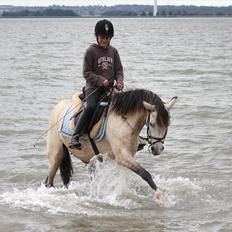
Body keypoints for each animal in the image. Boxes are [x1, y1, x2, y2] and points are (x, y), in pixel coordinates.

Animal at [44, 88, 177, 207]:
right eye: (152, 124)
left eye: (168, 124)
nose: (158, 148)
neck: (124, 121)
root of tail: (57, 107)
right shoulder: (122, 156)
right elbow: (145, 174)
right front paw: (162, 199)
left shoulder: (128, 156)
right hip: (56, 155)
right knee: (48, 180)